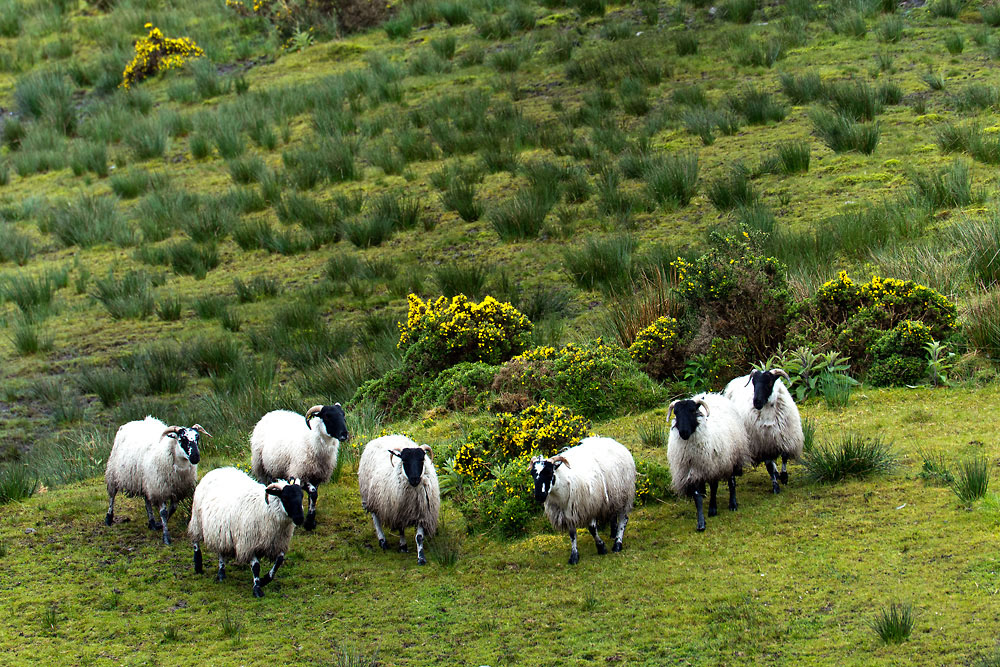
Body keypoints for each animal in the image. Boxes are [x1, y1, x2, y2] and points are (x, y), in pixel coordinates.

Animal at [104, 417, 210, 545]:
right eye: (182, 439)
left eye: (197, 438)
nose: (195, 457)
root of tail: (136, 421)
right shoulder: (160, 488)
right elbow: (163, 512)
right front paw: (166, 537)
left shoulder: (176, 489)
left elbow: (172, 509)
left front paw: (159, 524)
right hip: (113, 473)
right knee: (112, 495)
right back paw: (109, 518)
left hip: (145, 481)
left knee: (147, 501)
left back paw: (152, 523)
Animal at [187, 467, 305, 598]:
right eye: (285, 498)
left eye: (301, 496)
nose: (300, 518)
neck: (265, 509)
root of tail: (217, 470)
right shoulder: (248, 543)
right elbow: (256, 566)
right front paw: (257, 588)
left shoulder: (277, 543)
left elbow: (279, 561)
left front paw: (264, 580)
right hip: (197, 520)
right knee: (195, 541)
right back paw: (198, 565)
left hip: (221, 532)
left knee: (221, 552)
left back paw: (221, 573)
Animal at [357, 434, 439, 566]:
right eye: (404, 460)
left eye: (422, 460)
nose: (415, 479)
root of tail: (384, 436)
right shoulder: (397, 511)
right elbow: (401, 530)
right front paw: (403, 546)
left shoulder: (423, 513)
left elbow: (419, 537)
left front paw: (421, 558)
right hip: (371, 497)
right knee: (376, 518)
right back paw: (382, 541)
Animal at [528, 436, 636, 565]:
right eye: (532, 474)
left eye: (549, 472)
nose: (539, 496)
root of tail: (613, 441)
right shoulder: (567, 513)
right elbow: (572, 534)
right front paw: (574, 556)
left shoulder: (590, 504)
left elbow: (592, 529)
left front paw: (601, 547)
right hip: (612, 497)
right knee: (613, 514)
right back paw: (613, 534)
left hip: (624, 493)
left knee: (624, 518)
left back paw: (618, 543)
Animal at [667, 393, 750, 532]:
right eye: (676, 413)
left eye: (692, 410)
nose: (683, 433)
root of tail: (714, 395)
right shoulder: (692, 471)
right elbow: (697, 497)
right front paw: (701, 522)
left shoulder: (712, 467)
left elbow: (714, 488)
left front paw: (712, 509)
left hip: (731, 457)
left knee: (732, 481)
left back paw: (733, 504)